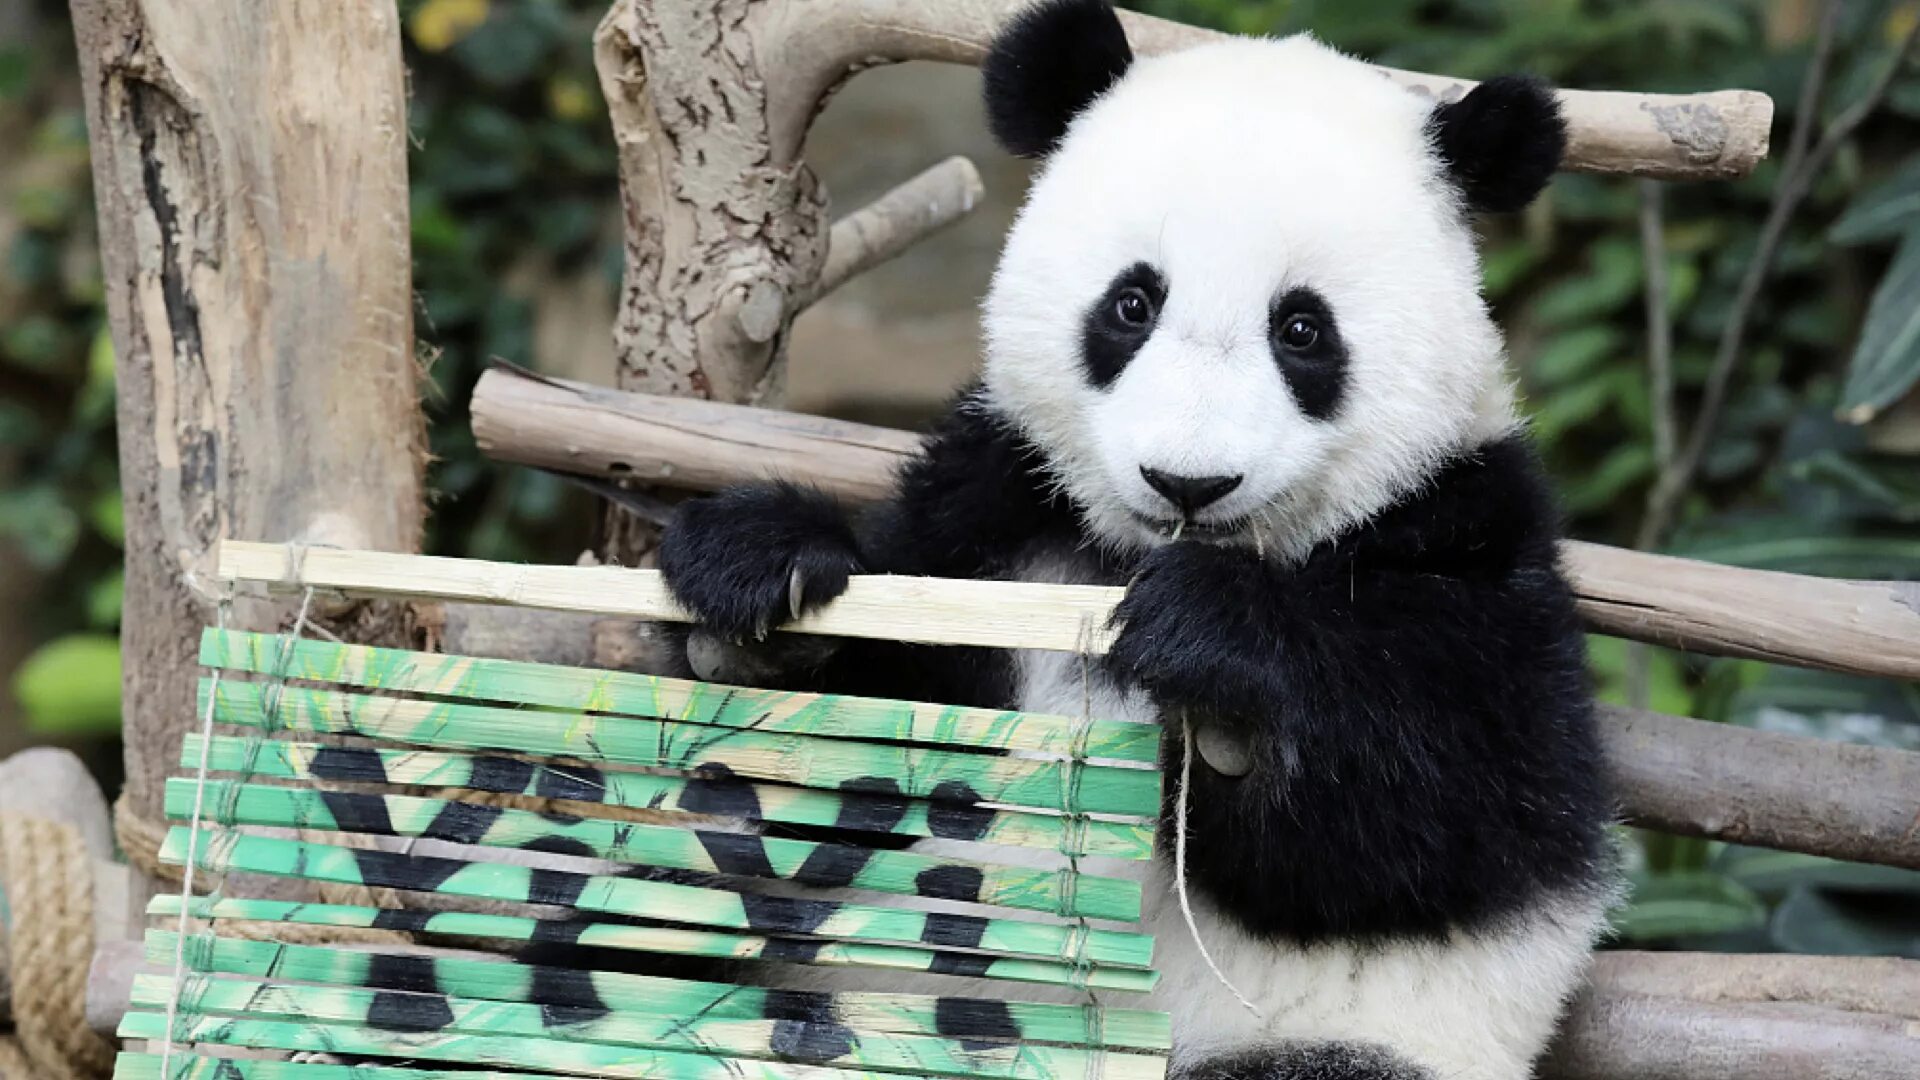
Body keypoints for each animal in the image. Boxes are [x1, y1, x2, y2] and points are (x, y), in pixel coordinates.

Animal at [660, 2, 1620, 1076]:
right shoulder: (999, 505)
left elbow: (1455, 823)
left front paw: (1215, 656)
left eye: (1302, 330)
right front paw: (758, 588)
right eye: (1132, 304)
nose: (1188, 484)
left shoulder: (1468, 532)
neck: (1139, 554)